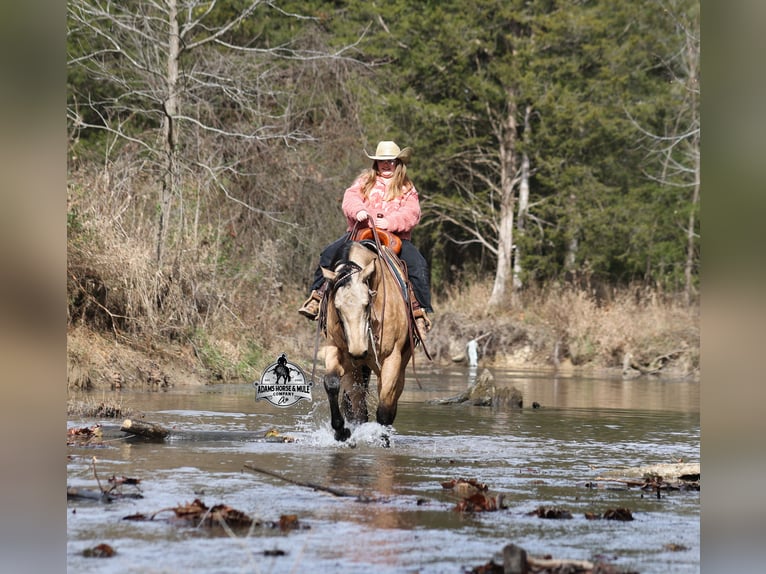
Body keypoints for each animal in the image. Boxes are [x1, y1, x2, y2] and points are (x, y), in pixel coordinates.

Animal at [320, 240, 415, 442]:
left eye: (366, 304)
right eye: (337, 308)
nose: (357, 351)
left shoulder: (392, 359)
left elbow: (385, 408)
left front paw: (382, 437)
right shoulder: (334, 348)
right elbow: (331, 383)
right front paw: (341, 431)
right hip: (355, 371)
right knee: (356, 407)